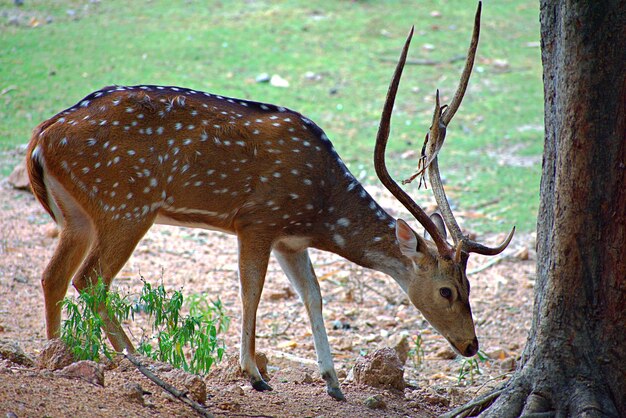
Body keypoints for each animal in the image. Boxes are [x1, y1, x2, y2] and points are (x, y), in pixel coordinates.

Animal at [26, 3, 510, 402]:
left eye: (470, 287)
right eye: (447, 290)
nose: (471, 345)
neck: (320, 208)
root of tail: (40, 138)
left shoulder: (289, 241)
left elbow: (313, 295)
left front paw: (333, 383)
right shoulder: (257, 220)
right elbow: (251, 290)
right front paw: (255, 375)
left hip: (77, 214)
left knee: (53, 274)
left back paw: (57, 354)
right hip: (126, 206)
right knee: (90, 278)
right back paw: (138, 360)